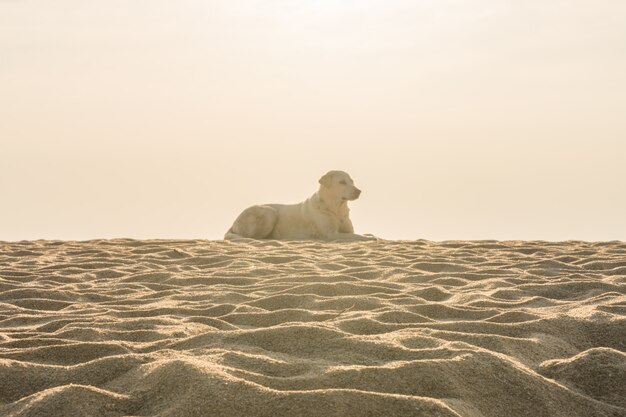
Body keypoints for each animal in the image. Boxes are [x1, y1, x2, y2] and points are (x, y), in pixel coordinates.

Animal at [225, 170, 376, 240]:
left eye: (352, 181)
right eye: (342, 182)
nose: (359, 191)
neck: (336, 208)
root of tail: (233, 223)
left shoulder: (347, 229)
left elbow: (359, 233)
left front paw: (369, 234)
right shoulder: (331, 234)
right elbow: (357, 236)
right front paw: (368, 237)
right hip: (269, 212)